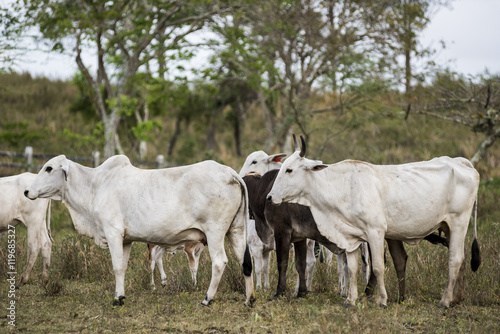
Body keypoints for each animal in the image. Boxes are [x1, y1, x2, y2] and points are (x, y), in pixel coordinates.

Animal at [25, 155, 256, 306]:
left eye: (48, 168)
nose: (27, 191)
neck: (95, 185)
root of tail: (229, 172)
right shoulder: (125, 240)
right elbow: (123, 267)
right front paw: (121, 295)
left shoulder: (113, 233)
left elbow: (116, 267)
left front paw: (117, 299)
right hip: (236, 230)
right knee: (245, 261)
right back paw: (249, 299)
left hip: (215, 232)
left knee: (220, 262)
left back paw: (208, 299)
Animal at [268, 136, 482, 308]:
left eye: (289, 170)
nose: (269, 197)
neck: (343, 187)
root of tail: (459, 162)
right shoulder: (350, 236)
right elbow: (352, 268)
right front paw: (351, 300)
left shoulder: (376, 232)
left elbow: (378, 267)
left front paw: (382, 301)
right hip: (448, 227)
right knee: (461, 259)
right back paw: (456, 299)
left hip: (459, 222)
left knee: (455, 259)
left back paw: (445, 301)